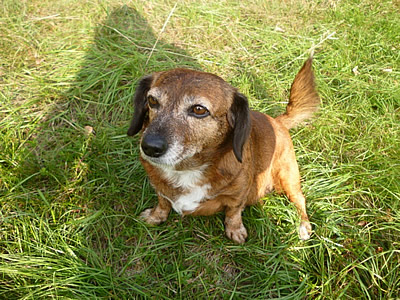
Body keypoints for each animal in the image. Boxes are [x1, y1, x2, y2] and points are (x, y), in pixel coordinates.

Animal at [126, 57, 320, 243]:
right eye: (152, 100)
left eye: (199, 109)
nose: (149, 147)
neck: (187, 169)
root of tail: (278, 121)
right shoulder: (159, 188)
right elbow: (163, 202)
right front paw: (155, 216)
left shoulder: (238, 195)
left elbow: (233, 212)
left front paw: (235, 230)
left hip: (287, 178)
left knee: (299, 199)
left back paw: (303, 226)